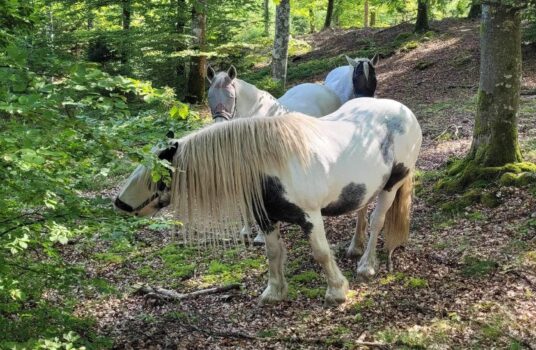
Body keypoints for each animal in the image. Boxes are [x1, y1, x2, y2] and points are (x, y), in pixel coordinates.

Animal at [115, 97, 420, 304]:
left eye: (157, 172)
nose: (119, 203)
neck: (269, 165)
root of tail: (404, 111)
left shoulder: (310, 217)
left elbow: (321, 252)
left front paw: (336, 290)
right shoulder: (266, 219)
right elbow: (272, 253)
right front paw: (274, 292)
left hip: (391, 185)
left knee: (377, 221)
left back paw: (367, 265)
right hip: (364, 186)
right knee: (360, 211)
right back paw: (355, 247)